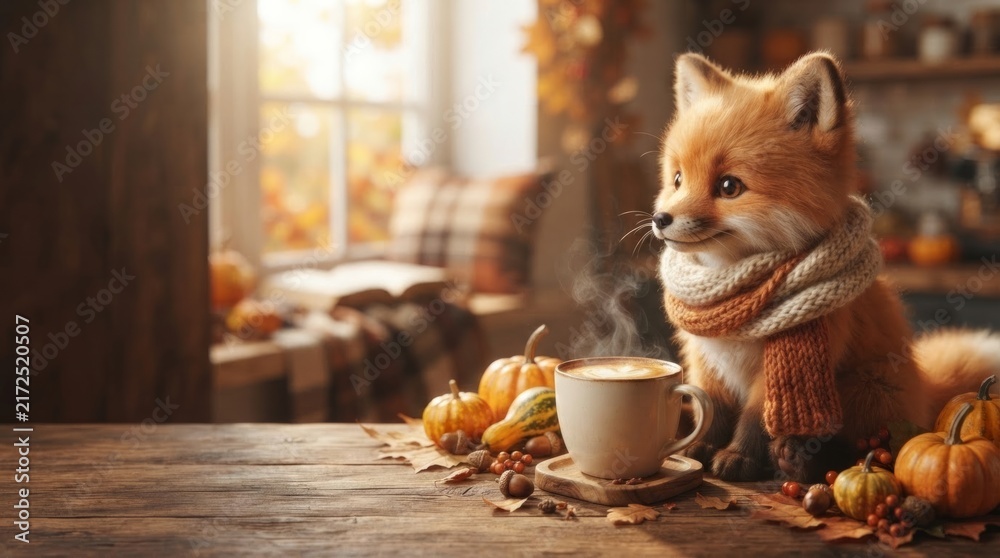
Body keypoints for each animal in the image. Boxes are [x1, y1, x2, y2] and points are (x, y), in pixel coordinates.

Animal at [652, 51, 1000, 483]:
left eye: (729, 187)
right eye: (678, 178)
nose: (660, 219)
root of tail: (925, 390)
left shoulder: (783, 372)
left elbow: (756, 419)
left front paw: (739, 457)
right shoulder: (706, 362)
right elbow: (711, 408)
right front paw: (699, 449)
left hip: (864, 390)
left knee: (865, 447)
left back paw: (803, 461)